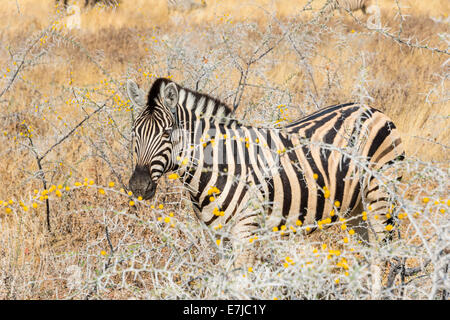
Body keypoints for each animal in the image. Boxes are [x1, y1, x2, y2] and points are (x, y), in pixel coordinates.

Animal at [125, 77, 404, 298]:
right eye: (134, 134)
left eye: (167, 133)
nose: (138, 186)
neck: (219, 165)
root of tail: (371, 109)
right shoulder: (218, 236)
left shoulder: (246, 230)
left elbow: (240, 285)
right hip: (356, 210)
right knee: (368, 253)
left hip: (380, 196)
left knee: (382, 254)